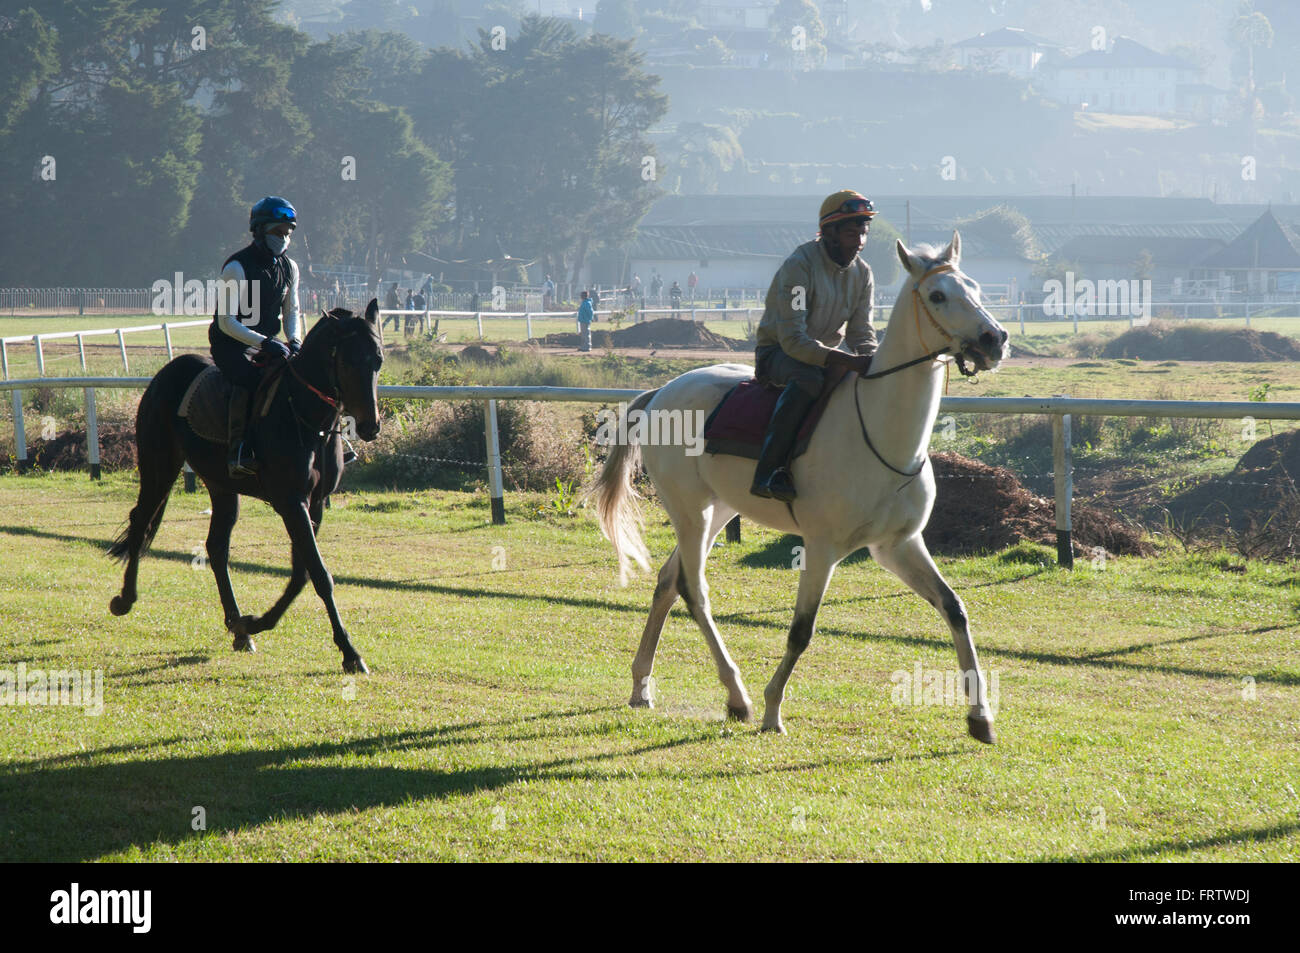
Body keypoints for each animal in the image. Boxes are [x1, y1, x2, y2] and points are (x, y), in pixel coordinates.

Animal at [108, 300, 384, 674]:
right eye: (348, 361)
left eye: (378, 360)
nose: (371, 426)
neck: (304, 416)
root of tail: (166, 374)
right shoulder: (290, 502)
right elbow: (319, 573)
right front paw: (350, 652)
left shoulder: (312, 504)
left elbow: (301, 574)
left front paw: (252, 623)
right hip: (159, 467)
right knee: (141, 522)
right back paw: (125, 599)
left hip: (222, 486)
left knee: (216, 547)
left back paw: (238, 627)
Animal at [589, 233, 1009, 742]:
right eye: (938, 295)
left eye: (976, 288)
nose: (994, 339)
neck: (883, 432)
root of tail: (663, 393)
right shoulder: (822, 549)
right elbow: (801, 630)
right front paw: (773, 709)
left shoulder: (898, 545)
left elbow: (954, 608)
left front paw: (981, 716)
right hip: (691, 514)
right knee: (694, 589)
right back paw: (738, 696)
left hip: (719, 511)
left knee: (669, 583)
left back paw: (642, 686)